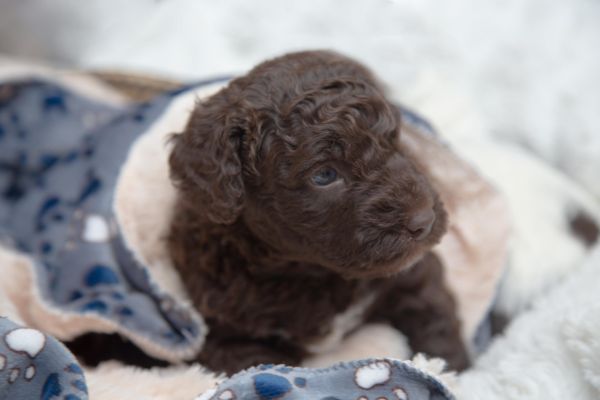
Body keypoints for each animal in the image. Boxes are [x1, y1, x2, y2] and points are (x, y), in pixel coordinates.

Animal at [168, 50, 468, 376]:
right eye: (324, 175)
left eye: (395, 140)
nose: (423, 220)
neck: (314, 273)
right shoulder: (228, 335)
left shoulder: (412, 273)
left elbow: (434, 316)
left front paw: (452, 369)